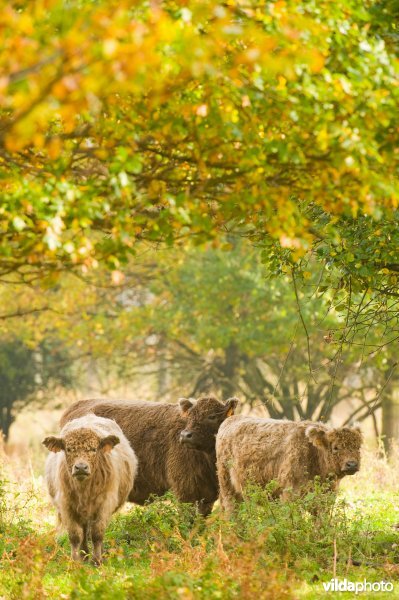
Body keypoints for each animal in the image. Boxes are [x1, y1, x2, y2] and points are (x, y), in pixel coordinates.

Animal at [43, 414, 138, 564]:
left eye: (94, 449)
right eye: (69, 449)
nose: (81, 467)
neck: (84, 490)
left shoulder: (105, 504)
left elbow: (97, 533)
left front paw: (97, 560)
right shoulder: (66, 506)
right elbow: (75, 535)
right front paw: (75, 560)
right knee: (83, 530)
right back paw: (84, 554)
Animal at [217, 418, 364, 510]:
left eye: (358, 447)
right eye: (335, 447)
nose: (351, 464)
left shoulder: (326, 497)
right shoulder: (290, 492)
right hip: (227, 486)